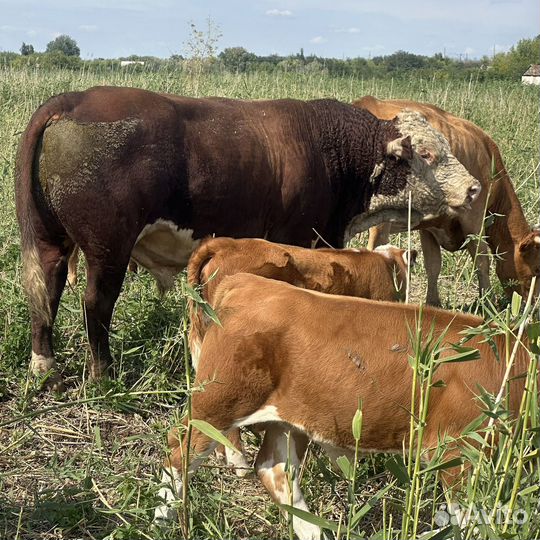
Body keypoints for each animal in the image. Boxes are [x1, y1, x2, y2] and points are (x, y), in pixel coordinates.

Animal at [16, 85, 478, 388]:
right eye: (429, 154)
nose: (474, 188)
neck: (334, 148)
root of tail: (72, 99)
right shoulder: (303, 239)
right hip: (108, 249)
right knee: (96, 303)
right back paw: (103, 373)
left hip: (52, 242)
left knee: (47, 289)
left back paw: (44, 364)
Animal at [154, 276, 532, 536]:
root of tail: (248, 283)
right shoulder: (461, 449)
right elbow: (471, 517)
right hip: (219, 402)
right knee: (178, 448)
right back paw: (162, 518)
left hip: (286, 418)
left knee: (276, 469)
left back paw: (314, 531)